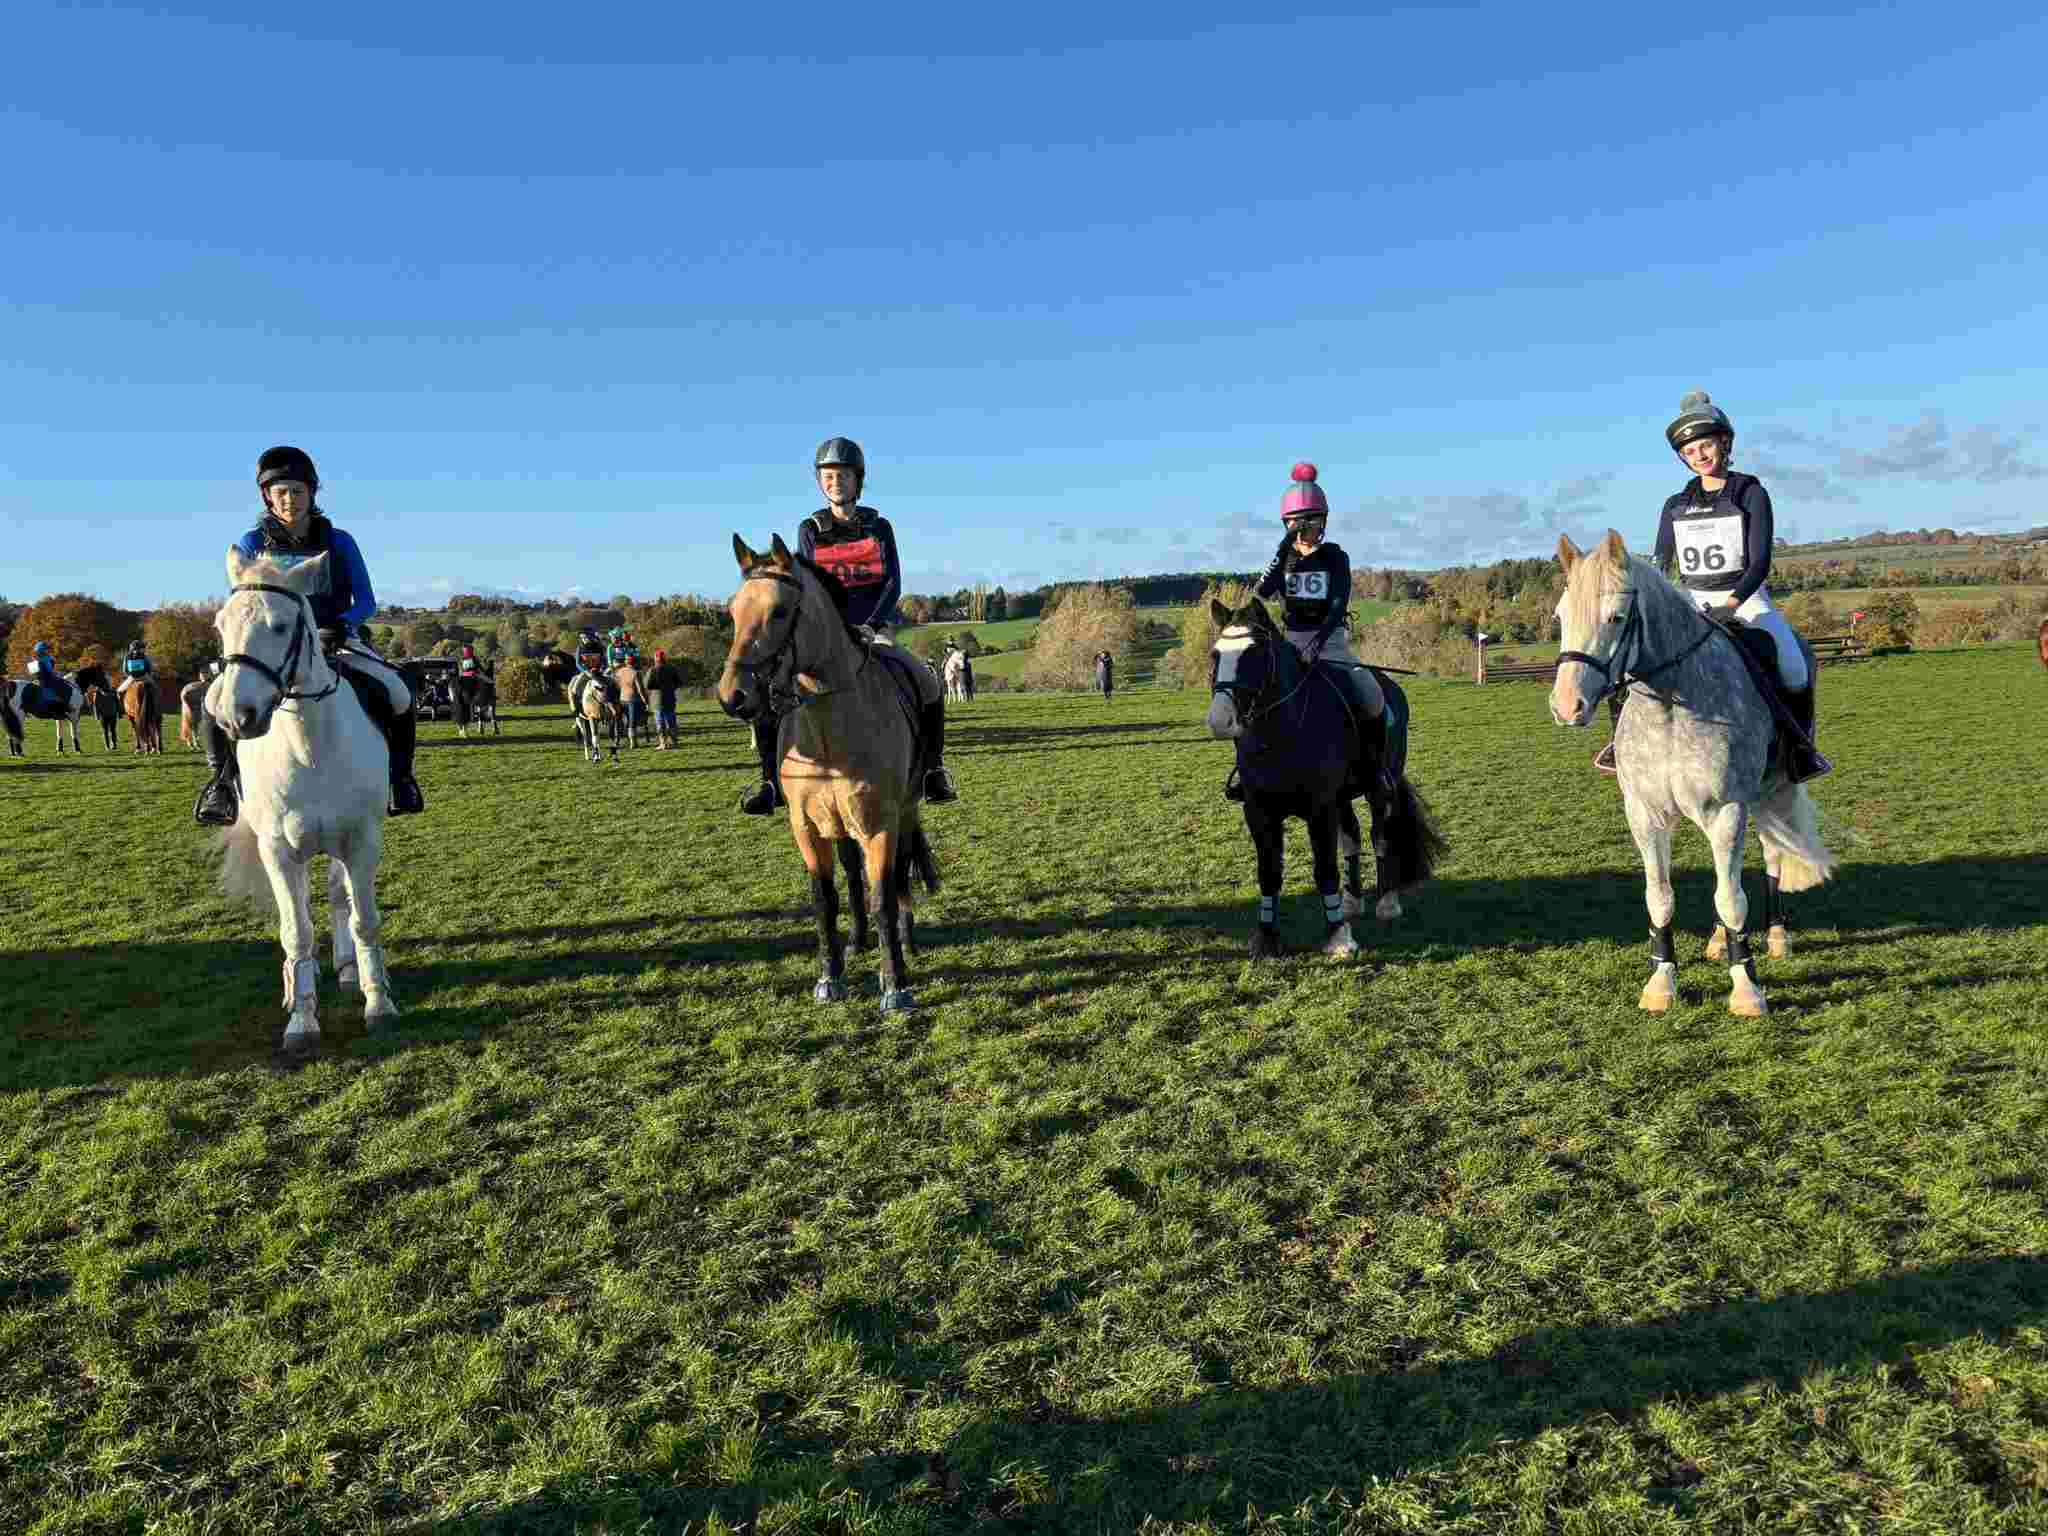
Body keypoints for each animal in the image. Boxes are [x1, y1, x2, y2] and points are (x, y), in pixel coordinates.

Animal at [207, 548, 403, 1053]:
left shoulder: (360, 841)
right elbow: (295, 931)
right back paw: (299, 983)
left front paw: (378, 1003)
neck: (307, 744)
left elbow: (364, 919)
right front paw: (301, 1019)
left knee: (337, 896)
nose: (236, 717)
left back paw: (349, 970)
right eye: (220, 625)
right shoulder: (277, 849)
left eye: (280, 626)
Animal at [720, 533, 941, 1013]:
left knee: (898, 873)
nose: (733, 697)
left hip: (905, 808)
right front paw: (830, 977)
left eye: (779, 611)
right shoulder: (805, 826)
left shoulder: (880, 823)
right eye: (732, 611)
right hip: (838, 822)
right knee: (852, 875)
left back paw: (905, 939)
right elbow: (825, 899)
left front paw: (895, 985)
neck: (828, 731)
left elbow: (883, 896)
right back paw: (857, 942)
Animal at [1207, 597, 1447, 958]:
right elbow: (1269, 873)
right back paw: (1351, 902)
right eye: (1215, 655)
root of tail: (1391, 687)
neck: (1282, 734)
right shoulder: (1259, 812)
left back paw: (1386, 902)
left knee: (1380, 835)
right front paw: (1267, 937)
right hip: (1342, 797)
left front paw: (1339, 937)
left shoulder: (1319, 810)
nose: (1219, 721)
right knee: (1352, 837)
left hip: (1379, 790)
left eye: (1254, 654)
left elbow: (1325, 870)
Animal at [1550, 530, 1836, 1017]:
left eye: (1616, 617)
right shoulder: (1644, 815)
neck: (1670, 705)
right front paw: (1661, 982)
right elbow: (1661, 898)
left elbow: (1732, 898)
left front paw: (1747, 990)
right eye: (1561, 616)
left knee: (1771, 855)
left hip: (1772, 789)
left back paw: (1777, 935)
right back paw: (1720, 941)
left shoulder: (1728, 808)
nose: (1567, 706)